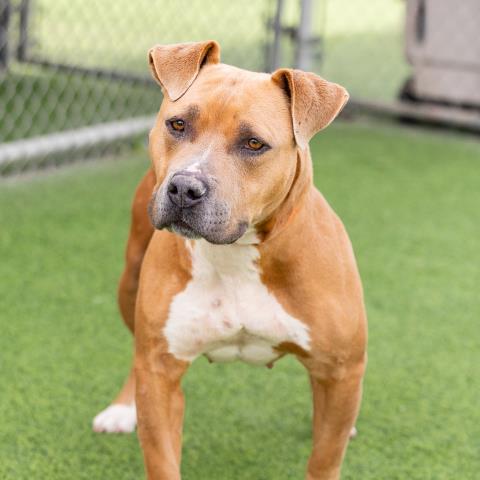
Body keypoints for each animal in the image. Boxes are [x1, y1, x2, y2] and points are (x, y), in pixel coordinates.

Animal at [92, 40, 367, 480]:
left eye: (254, 144)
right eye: (177, 125)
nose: (185, 187)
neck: (233, 252)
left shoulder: (341, 370)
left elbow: (325, 458)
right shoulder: (162, 371)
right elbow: (161, 456)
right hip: (129, 285)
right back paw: (122, 407)